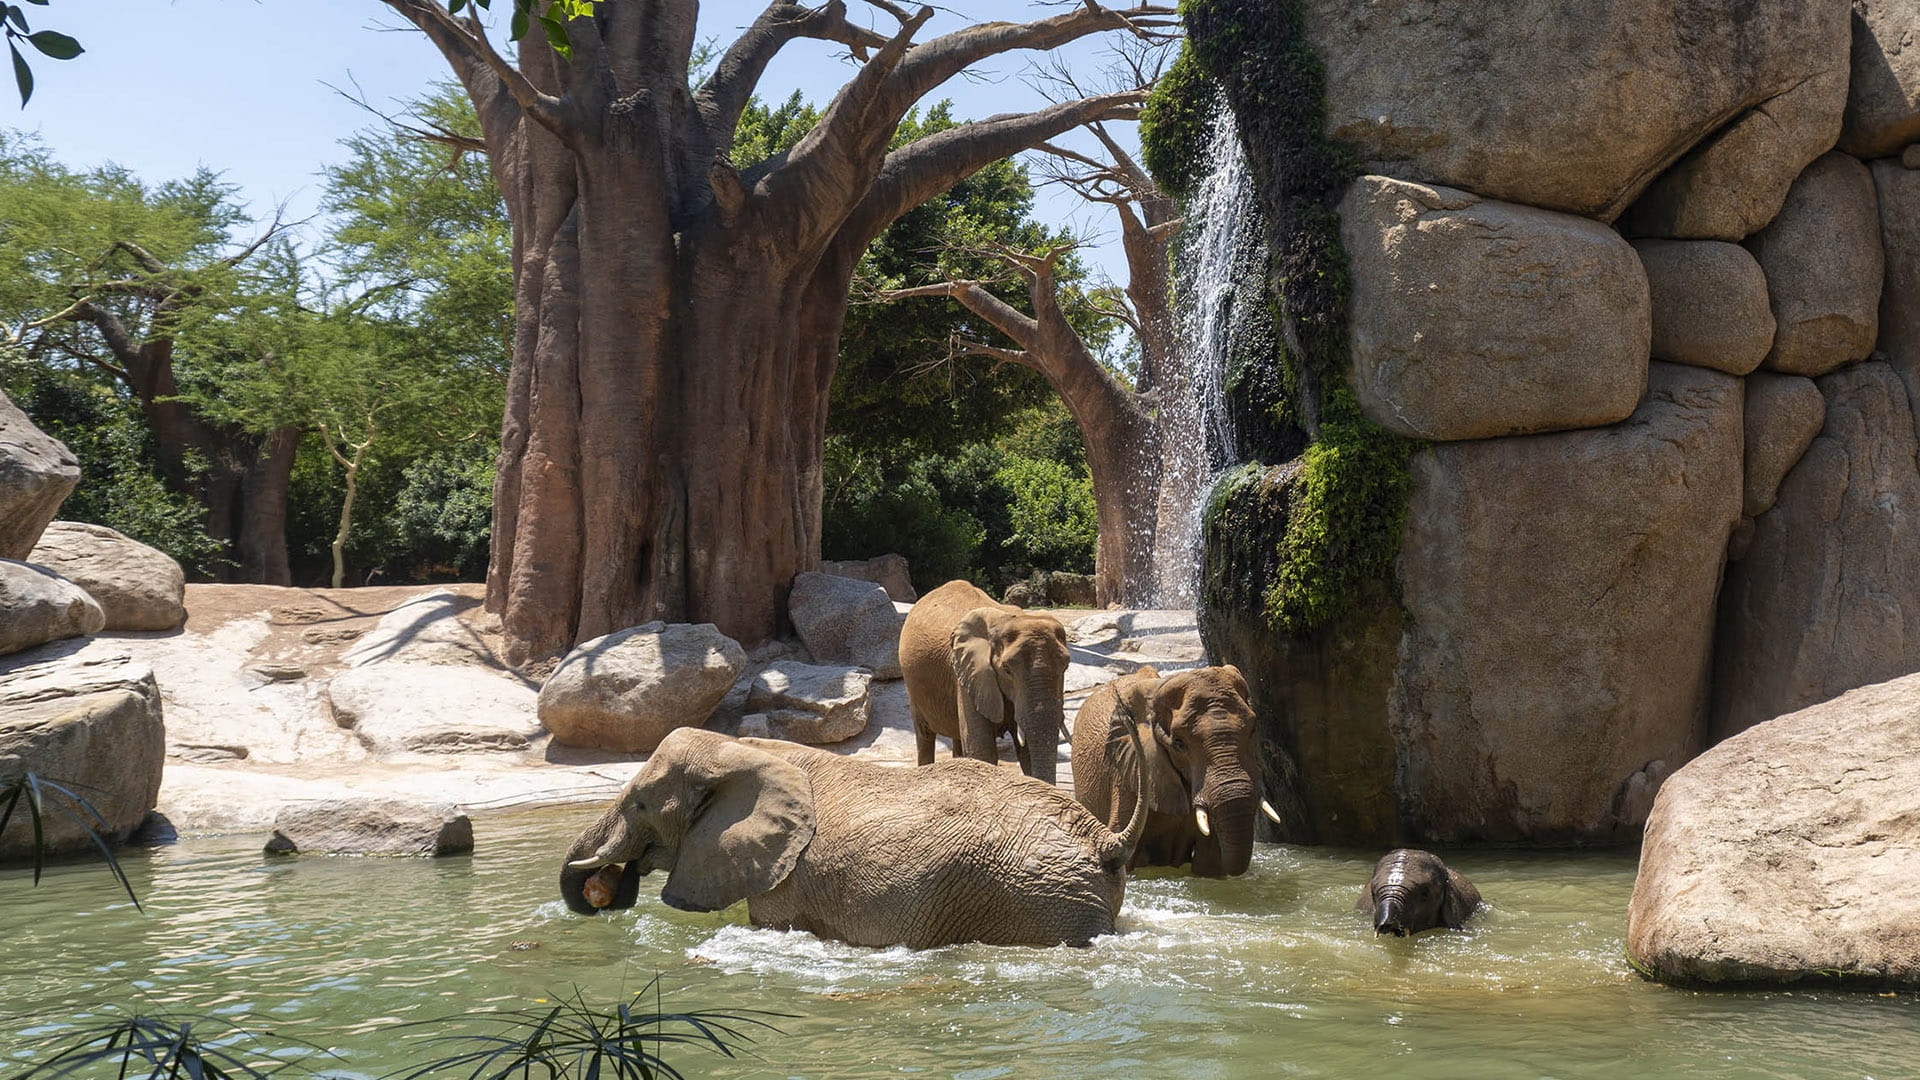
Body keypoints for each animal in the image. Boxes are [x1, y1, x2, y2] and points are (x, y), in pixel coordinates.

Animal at [559, 726, 1151, 948]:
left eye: (639, 804)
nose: (604, 888)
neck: (739, 746)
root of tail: (1105, 840)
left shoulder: (786, 882)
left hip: (1039, 901)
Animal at [899, 579, 1071, 785]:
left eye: (1066, 666)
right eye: (1007, 670)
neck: (1009, 619)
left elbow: (1027, 751)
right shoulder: (969, 674)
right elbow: (983, 750)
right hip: (912, 686)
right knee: (925, 736)